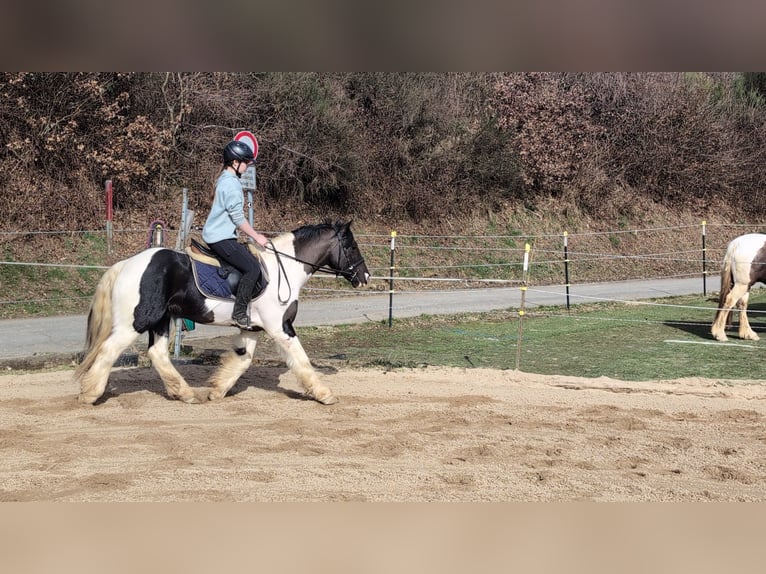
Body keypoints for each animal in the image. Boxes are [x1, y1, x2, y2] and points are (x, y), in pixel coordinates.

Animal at [74, 221, 370, 405]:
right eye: (352, 246)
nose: (365, 277)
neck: (284, 269)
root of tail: (125, 264)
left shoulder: (251, 329)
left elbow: (243, 361)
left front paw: (216, 391)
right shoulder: (280, 327)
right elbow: (302, 360)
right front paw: (324, 394)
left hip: (161, 319)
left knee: (157, 353)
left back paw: (185, 393)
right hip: (135, 321)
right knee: (109, 350)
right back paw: (90, 393)